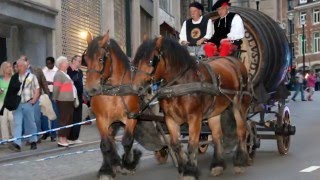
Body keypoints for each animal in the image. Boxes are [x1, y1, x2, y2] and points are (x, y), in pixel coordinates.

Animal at [84, 32, 141, 180]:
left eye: (100, 59)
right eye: (85, 59)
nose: (90, 89)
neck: (115, 92)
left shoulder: (132, 117)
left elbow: (127, 141)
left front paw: (128, 163)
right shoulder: (101, 119)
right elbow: (105, 144)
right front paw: (107, 169)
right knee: (109, 140)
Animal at [131, 37, 251, 179]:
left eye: (151, 61)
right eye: (136, 61)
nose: (136, 87)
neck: (180, 83)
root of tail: (235, 62)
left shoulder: (195, 117)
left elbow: (192, 144)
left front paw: (190, 171)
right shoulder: (170, 119)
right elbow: (176, 145)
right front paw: (183, 168)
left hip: (240, 106)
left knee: (241, 130)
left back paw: (240, 162)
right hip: (214, 112)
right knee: (217, 135)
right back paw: (217, 165)